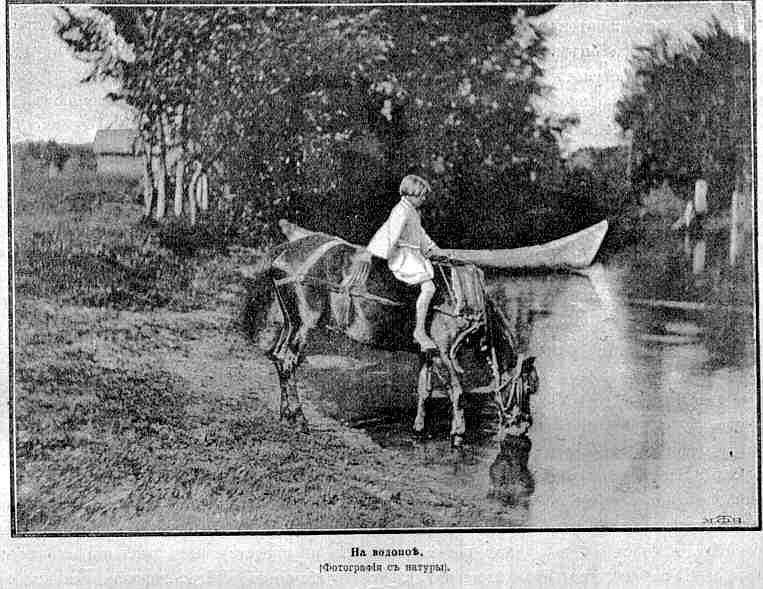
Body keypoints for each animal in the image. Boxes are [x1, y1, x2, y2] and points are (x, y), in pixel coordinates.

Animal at [242, 230, 540, 446]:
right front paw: (458, 433)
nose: (525, 425)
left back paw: (286, 415)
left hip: (291, 322)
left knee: (278, 358)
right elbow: (457, 391)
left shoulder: (426, 352)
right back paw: (300, 419)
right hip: (305, 324)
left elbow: (424, 389)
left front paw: (419, 427)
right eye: (528, 387)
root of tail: (284, 252)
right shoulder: (445, 351)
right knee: (288, 362)